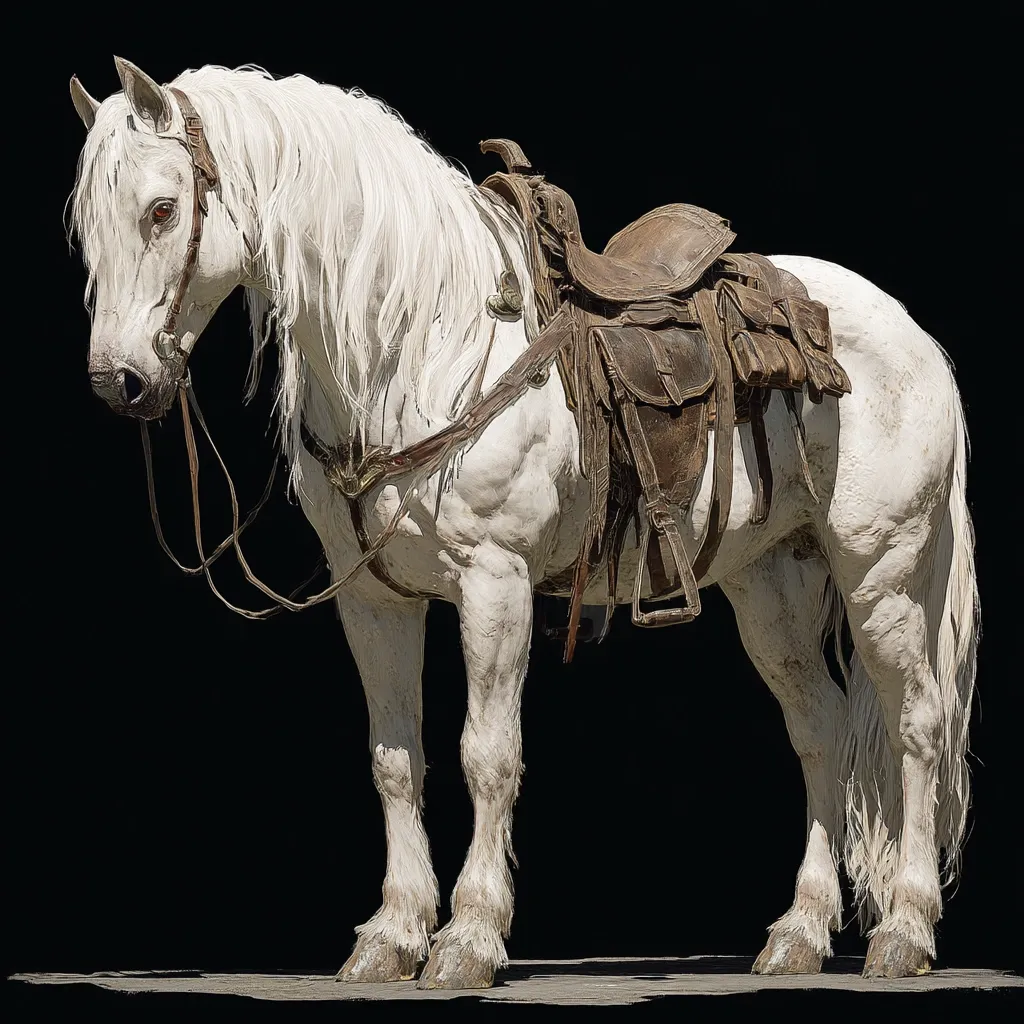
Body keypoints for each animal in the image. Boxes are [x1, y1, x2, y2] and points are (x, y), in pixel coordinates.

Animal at [68, 58, 979, 989]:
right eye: (85, 226)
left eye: (162, 210)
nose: (120, 381)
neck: (422, 341)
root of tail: (913, 336)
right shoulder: (374, 601)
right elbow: (394, 759)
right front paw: (393, 933)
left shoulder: (493, 582)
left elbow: (487, 754)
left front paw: (469, 937)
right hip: (772, 583)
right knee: (821, 728)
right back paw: (800, 931)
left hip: (881, 574)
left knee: (916, 721)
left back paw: (904, 929)